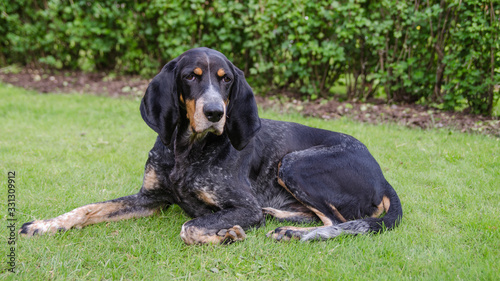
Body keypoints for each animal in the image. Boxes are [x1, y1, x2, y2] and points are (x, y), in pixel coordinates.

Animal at [20, 47, 402, 243]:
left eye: (226, 79)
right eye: (191, 76)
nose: (216, 112)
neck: (186, 152)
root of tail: (384, 177)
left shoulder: (244, 206)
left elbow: (191, 228)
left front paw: (226, 234)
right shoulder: (150, 198)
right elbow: (89, 209)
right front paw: (46, 224)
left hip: (295, 162)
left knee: (342, 223)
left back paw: (296, 232)